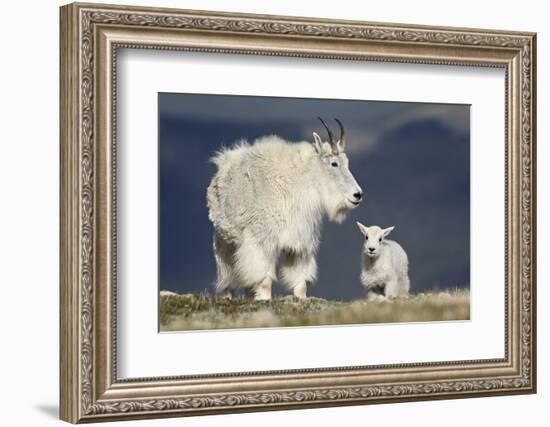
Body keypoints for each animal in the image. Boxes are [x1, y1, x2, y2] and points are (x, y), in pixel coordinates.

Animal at [206, 118, 362, 300]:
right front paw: (265, 299)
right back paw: (228, 296)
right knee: (228, 272)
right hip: (224, 240)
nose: (357, 195)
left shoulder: (300, 243)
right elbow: (264, 278)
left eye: (347, 163)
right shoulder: (261, 240)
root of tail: (223, 164)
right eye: (334, 163)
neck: (298, 183)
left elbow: (300, 280)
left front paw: (301, 298)